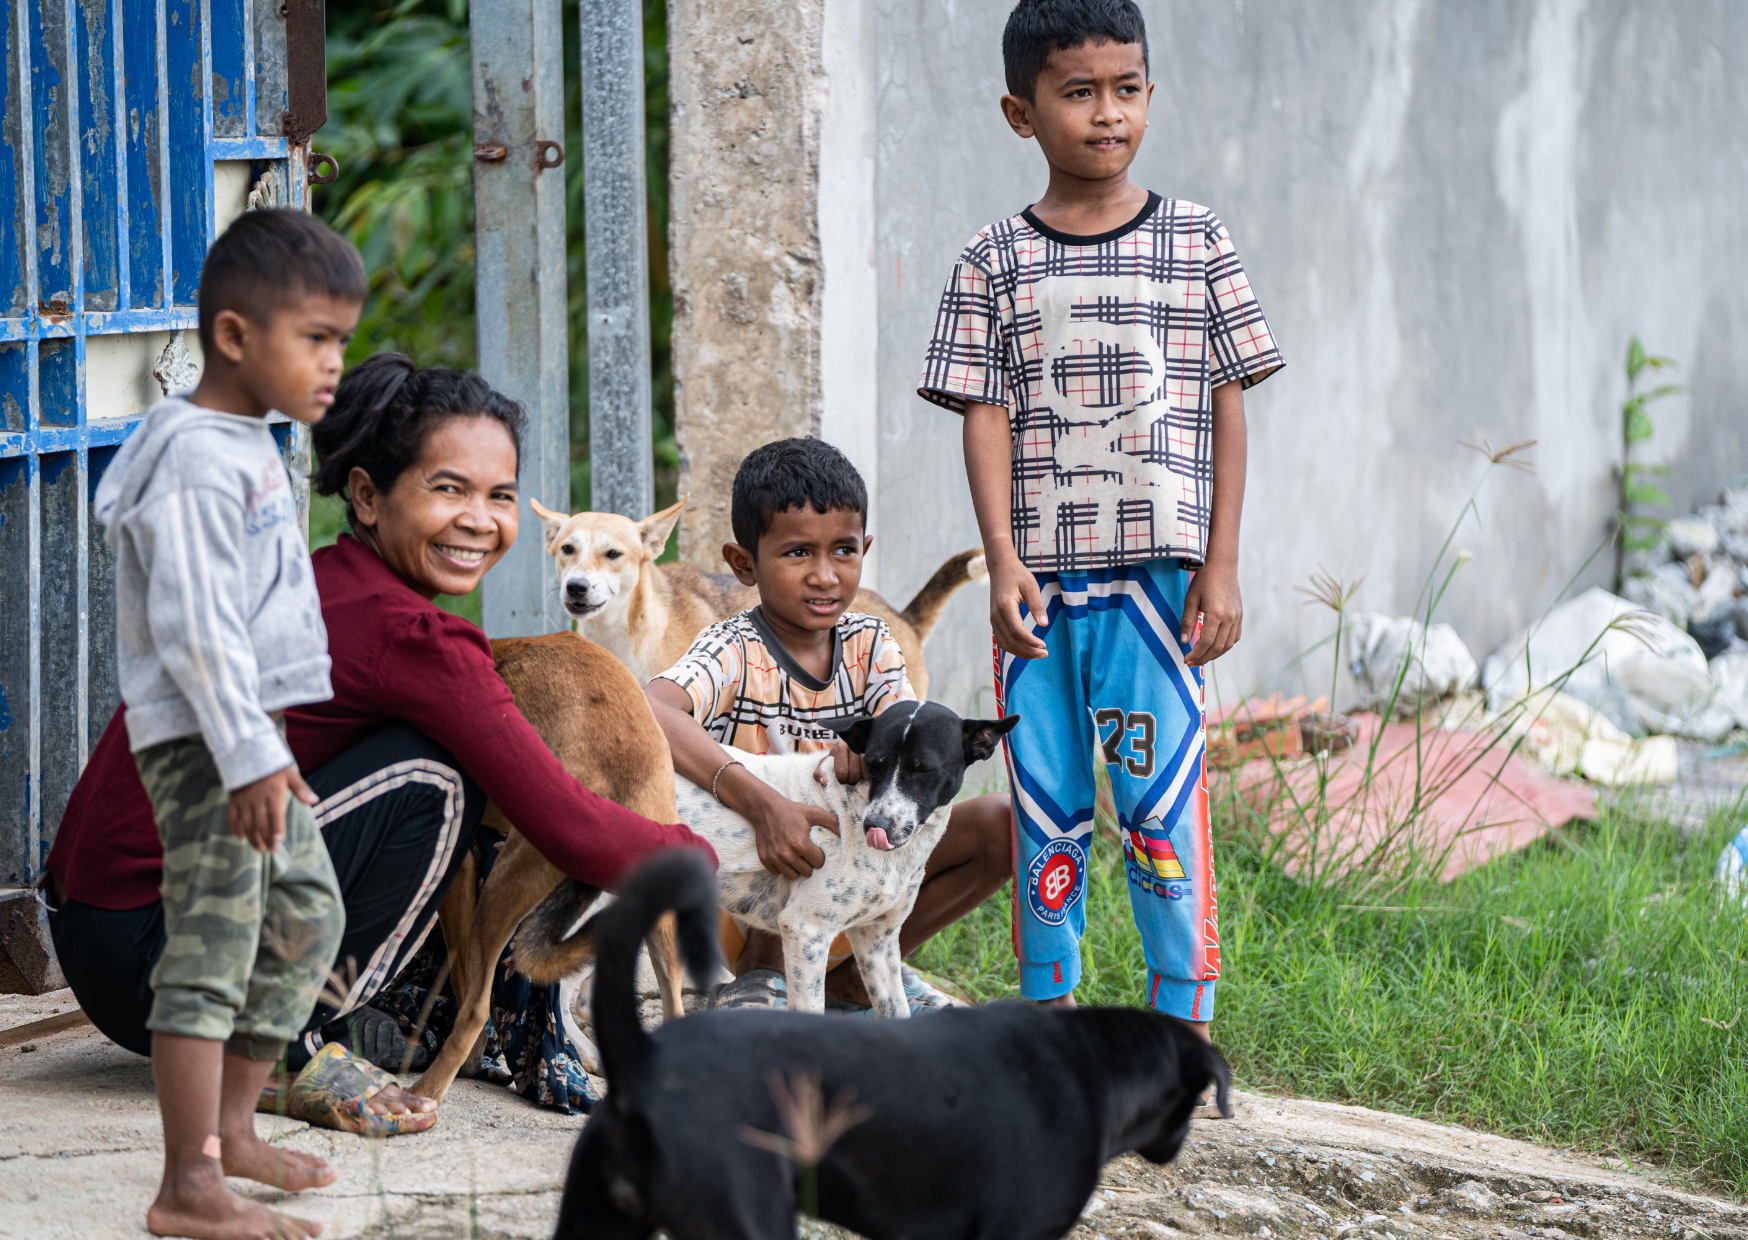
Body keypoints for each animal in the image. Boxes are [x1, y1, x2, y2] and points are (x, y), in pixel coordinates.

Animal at [407, 633, 681, 1098]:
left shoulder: (460, 867)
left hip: (501, 889)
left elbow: (461, 979)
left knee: (478, 1009)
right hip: (660, 931)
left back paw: (422, 1094)